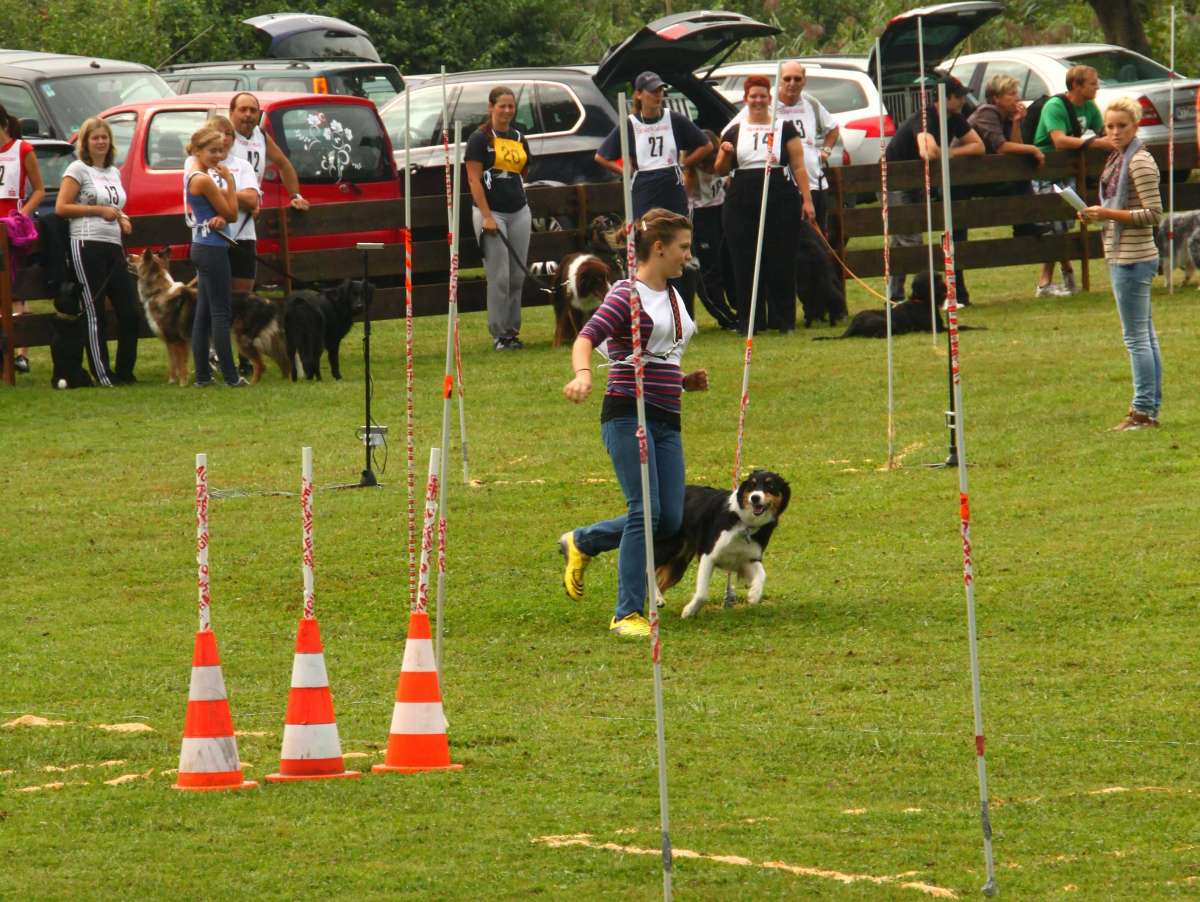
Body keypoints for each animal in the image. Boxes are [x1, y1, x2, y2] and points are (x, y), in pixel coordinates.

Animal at [129, 248, 196, 386]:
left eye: (141, 256)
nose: (128, 255)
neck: (159, 292)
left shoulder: (178, 339)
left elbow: (182, 363)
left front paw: (183, 383)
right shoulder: (169, 340)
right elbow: (173, 363)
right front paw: (171, 381)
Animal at [652, 467, 792, 618]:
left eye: (770, 485)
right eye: (752, 485)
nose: (754, 497)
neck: (744, 522)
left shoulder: (748, 560)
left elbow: (762, 575)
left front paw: (754, 595)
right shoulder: (709, 555)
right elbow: (702, 593)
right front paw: (690, 610)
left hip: (678, 564)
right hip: (667, 547)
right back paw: (657, 598)